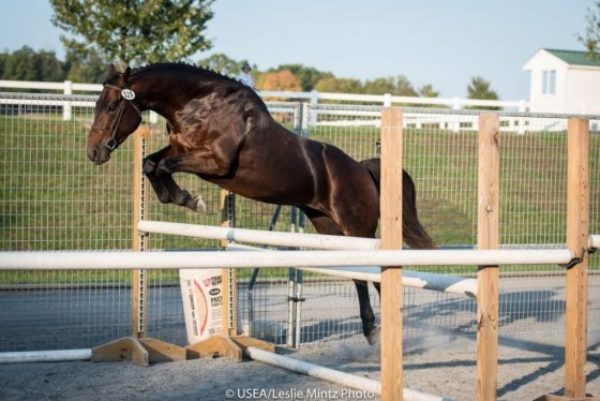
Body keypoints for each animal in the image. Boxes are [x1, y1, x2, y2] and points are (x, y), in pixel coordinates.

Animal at [88, 63, 436, 344]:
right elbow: (151, 163)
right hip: (328, 226)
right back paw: (373, 329)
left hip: (357, 230)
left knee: (373, 275)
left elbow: (162, 166)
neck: (198, 104)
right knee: (361, 277)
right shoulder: (180, 149)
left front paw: (192, 200)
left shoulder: (215, 162)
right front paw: (181, 198)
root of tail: (363, 169)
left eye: (111, 106)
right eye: (98, 104)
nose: (93, 152)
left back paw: (378, 330)